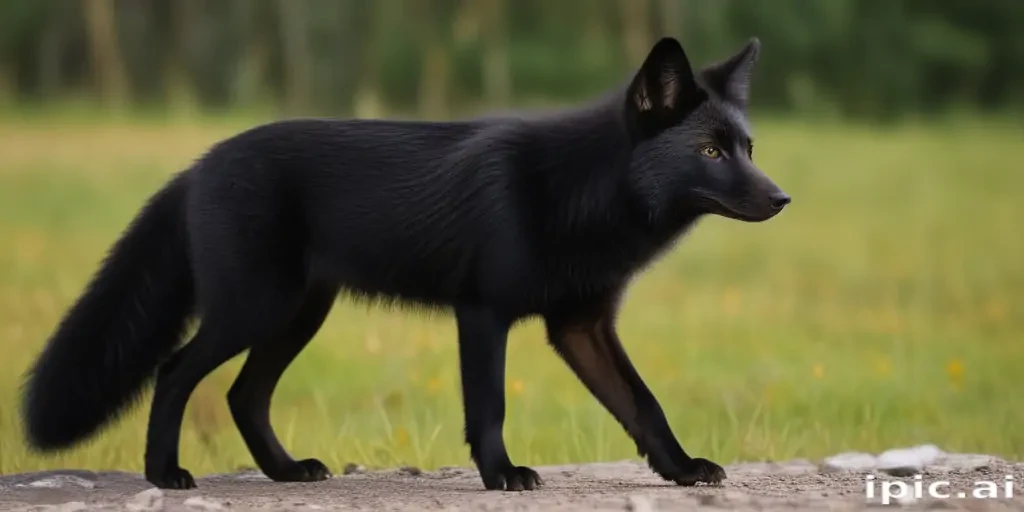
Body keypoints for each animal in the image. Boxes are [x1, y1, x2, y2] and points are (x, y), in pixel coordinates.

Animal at [21, 36, 789, 491]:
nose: (783, 199)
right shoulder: (483, 314)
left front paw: (682, 469)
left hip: (297, 315)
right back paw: (164, 473)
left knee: (243, 394)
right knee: (175, 371)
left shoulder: (582, 328)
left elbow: (642, 403)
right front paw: (502, 475)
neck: (579, 192)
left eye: (748, 148)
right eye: (710, 153)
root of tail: (196, 168)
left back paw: (286, 472)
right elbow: (489, 406)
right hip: (254, 308)